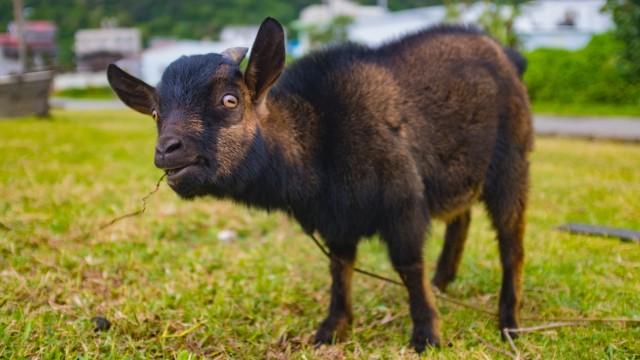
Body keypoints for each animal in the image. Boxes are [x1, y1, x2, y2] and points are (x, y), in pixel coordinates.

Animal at [107, 16, 532, 352]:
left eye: (230, 100)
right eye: (156, 113)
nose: (167, 150)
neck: (320, 136)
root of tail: (506, 55)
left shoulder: (403, 202)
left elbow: (409, 265)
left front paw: (426, 334)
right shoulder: (336, 220)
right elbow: (339, 268)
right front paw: (331, 329)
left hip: (512, 162)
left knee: (511, 243)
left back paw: (509, 323)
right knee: (461, 218)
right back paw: (443, 282)